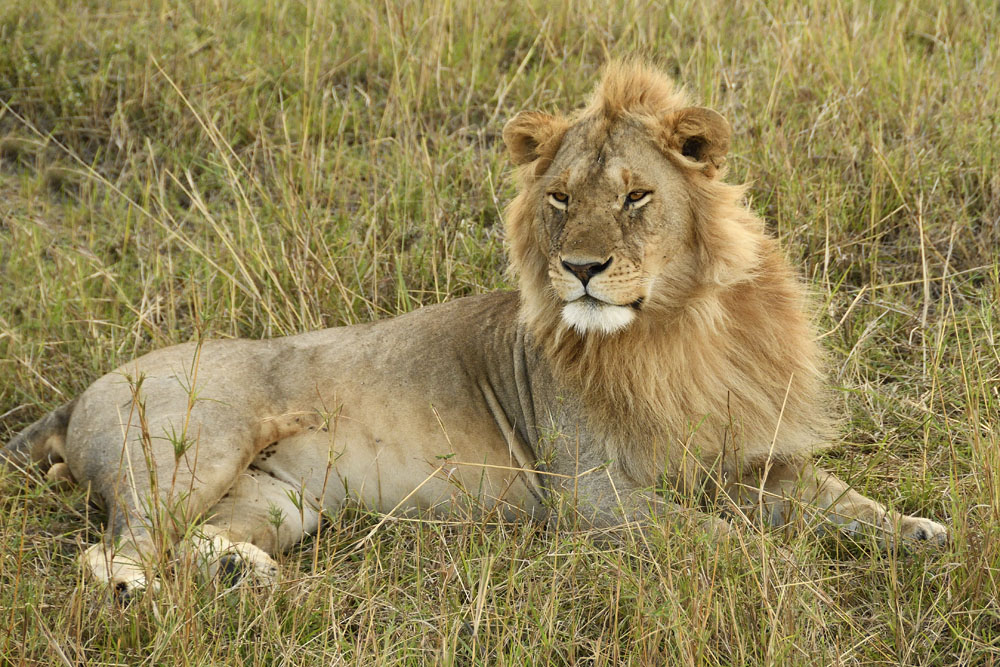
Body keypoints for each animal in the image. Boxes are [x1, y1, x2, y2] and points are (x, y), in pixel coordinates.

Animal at [2, 60, 947, 598]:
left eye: (636, 195)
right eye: (560, 197)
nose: (582, 268)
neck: (678, 328)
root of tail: (79, 391)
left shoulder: (751, 458)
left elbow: (842, 499)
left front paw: (922, 534)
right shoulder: (588, 494)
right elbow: (716, 536)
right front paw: (784, 570)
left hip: (281, 497)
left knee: (195, 538)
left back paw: (245, 574)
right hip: (186, 450)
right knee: (117, 547)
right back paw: (135, 592)